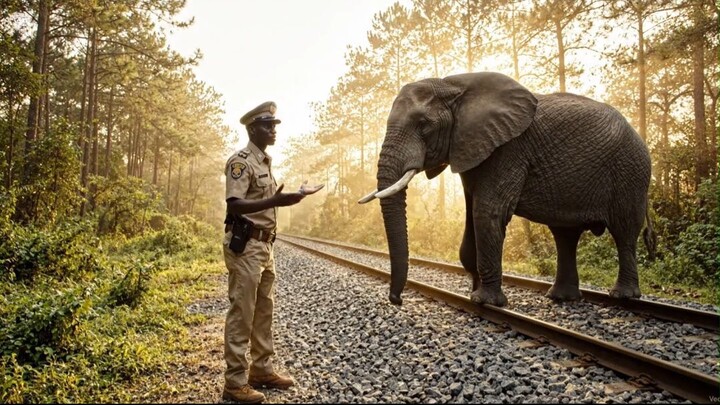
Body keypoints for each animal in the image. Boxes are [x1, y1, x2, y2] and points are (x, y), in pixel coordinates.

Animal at [359, 71, 656, 307]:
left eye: (424, 126)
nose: (397, 300)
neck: (453, 85)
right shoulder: (471, 147)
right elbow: (472, 217)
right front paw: (475, 292)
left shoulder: (508, 149)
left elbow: (487, 213)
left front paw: (485, 301)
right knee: (565, 235)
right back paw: (561, 297)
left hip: (630, 172)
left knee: (624, 231)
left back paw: (622, 297)